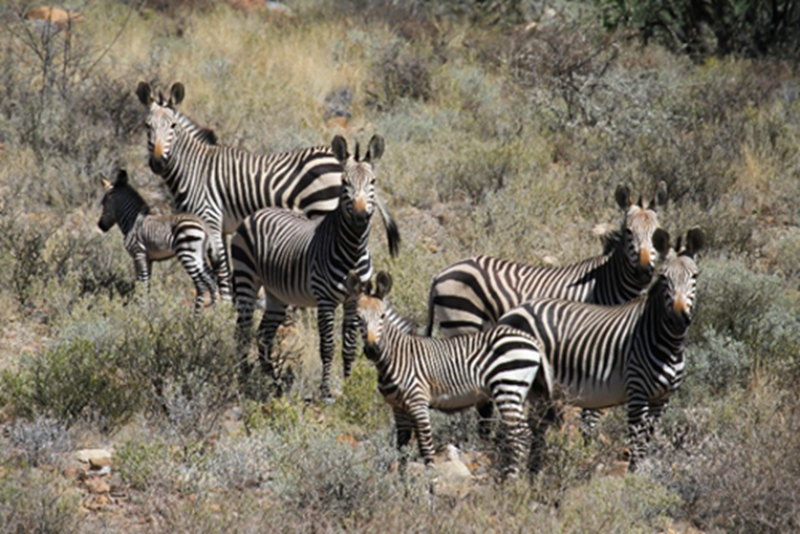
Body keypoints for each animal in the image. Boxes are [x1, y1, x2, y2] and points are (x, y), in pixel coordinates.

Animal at [98, 169, 219, 313]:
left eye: (103, 203)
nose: (100, 226)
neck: (133, 221)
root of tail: (204, 225)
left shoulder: (139, 254)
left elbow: (142, 282)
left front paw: (141, 309)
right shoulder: (148, 259)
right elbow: (146, 283)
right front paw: (146, 307)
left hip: (188, 254)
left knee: (201, 284)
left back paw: (196, 315)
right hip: (199, 256)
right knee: (212, 281)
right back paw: (216, 313)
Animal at [136, 81, 400, 299]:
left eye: (172, 126)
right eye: (147, 126)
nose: (157, 162)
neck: (193, 168)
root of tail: (342, 159)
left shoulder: (209, 217)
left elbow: (219, 265)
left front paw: (222, 308)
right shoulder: (221, 226)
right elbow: (225, 265)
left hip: (323, 207)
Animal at [232, 134, 385, 398]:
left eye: (373, 181)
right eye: (344, 182)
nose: (359, 218)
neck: (353, 251)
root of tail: (259, 211)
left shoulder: (354, 299)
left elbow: (349, 346)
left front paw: (349, 388)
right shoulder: (325, 300)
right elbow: (327, 346)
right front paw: (325, 391)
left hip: (276, 293)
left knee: (264, 334)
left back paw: (274, 382)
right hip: (246, 279)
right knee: (243, 330)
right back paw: (243, 379)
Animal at [346, 270, 553, 478]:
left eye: (382, 316)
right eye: (358, 318)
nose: (372, 350)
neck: (397, 358)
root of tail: (532, 341)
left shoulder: (418, 404)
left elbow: (426, 449)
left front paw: (430, 483)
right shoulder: (399, 409)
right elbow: (402, 452)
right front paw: (403, 484)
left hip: (507, 389)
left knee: (520, 434)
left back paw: (512, 479)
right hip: (524, 391)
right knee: (526, 431)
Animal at [497, 227, 704, 472]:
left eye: (694, 277)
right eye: (663, 278)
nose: (678, 320)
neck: (668, 343)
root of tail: (514, 310)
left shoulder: (661, 400)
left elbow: (645, 443)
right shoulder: (637, 392)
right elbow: (636, 445)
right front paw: (635, 478)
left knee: (534, 427)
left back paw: (533, 472)